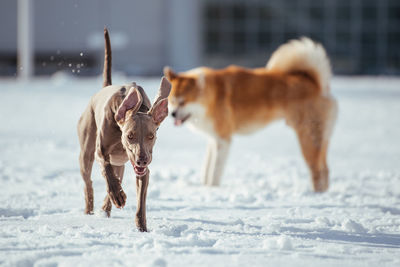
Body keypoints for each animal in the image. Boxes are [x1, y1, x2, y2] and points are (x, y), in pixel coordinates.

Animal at [165, 37, 338, 193]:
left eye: (183, 102)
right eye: (171, 101)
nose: (172, 114)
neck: (211, 96)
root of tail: (316, 83)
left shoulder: (223, 139)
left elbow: (214, 171)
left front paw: (212, 189)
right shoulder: (213, 139)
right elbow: (207, 169)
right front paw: (205, 186)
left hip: (308, 137)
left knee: (317, 170)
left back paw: (316, 194)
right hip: (322, 138)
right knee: (326, 169)